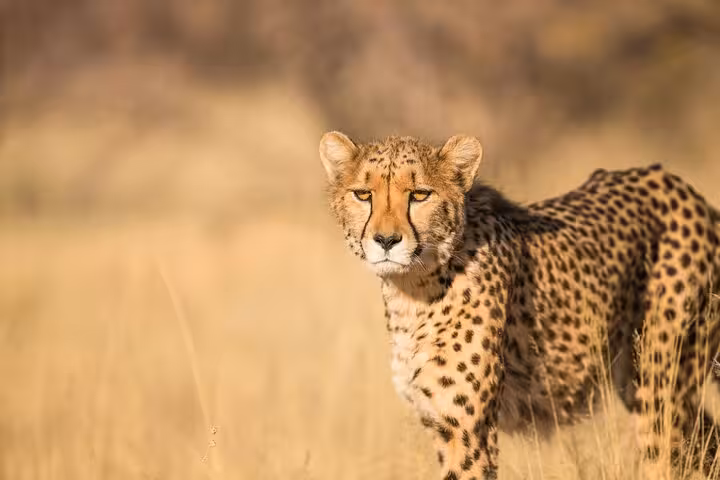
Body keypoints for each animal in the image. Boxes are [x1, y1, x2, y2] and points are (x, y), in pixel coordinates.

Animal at [318, 131, 720, 480]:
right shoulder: (440, 423)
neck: (413, 288)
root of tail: (679, 185)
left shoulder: (468, 430)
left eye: (419, 195)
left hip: (661, 385)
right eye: (363, 194)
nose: (386, 240)